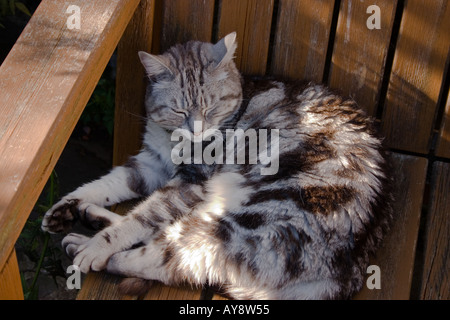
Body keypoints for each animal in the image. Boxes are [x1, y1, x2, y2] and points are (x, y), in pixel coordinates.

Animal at [43, 32, 394, 300]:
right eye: (179, 110)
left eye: (211, 109)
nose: (198, 129)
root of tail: (346, 275)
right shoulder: (149, 165)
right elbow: (106, 185)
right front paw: (66, 204)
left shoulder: (190, 182)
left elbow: (140, 218)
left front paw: (98, 245)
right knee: (167, 242)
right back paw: (87, 218)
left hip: (232, 222)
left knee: (163, 258)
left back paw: (86, 246)